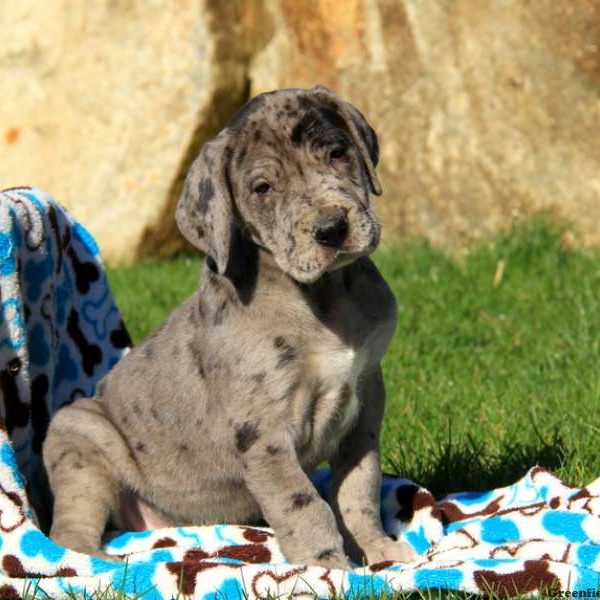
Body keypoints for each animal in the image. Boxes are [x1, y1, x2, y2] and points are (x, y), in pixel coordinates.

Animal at [43, 84, 418, 568]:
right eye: (262, 188)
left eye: (337, 153)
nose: (332, 228)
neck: (324, 295)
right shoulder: (265, 433)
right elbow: (304, 504)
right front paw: (327, 568)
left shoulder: (366, 402)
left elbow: (358, 488)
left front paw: (376, 549)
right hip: (79, 440)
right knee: (68, 533)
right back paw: (97, 565)